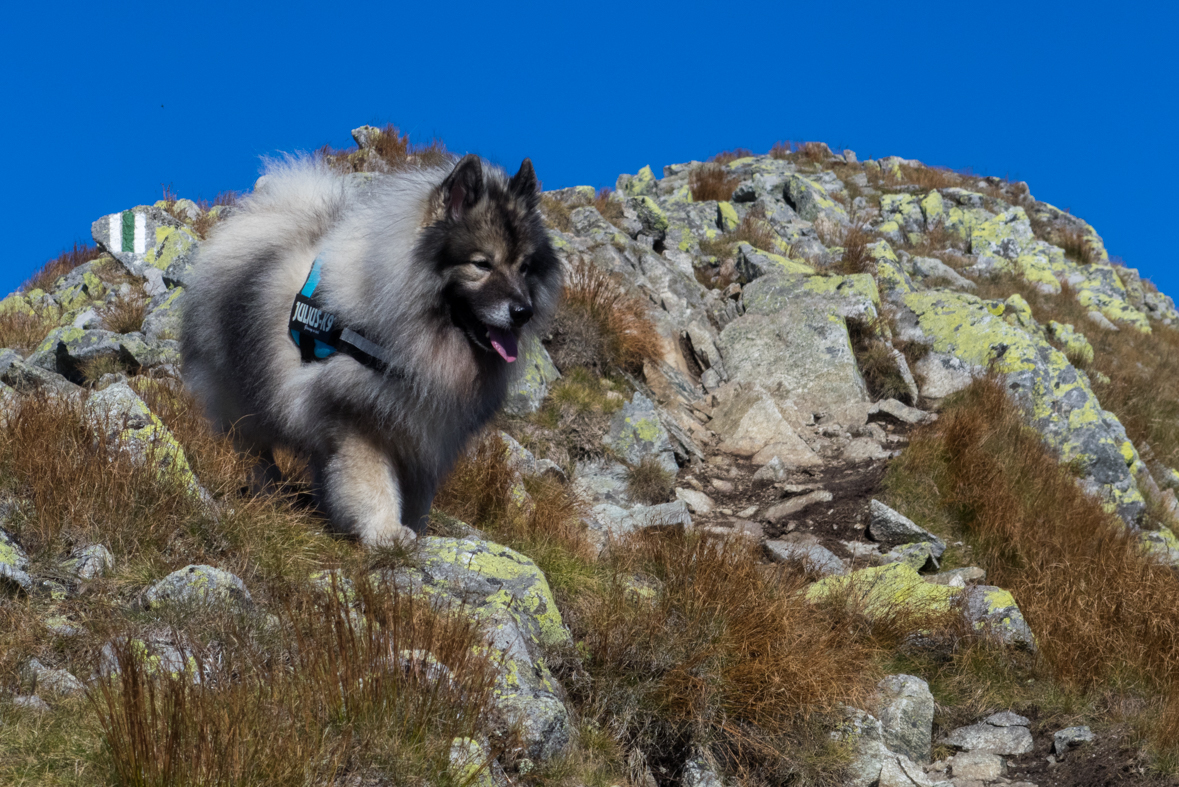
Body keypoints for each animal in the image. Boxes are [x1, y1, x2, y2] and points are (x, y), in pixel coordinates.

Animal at [179, 153, 561, 546]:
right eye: (482, 264)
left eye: (524, 267)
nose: (523, 312)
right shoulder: (360, 419)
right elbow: (372, 482)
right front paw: (386, 532)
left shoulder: (426, 432)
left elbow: (417, 496)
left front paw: (416, 532)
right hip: (240, 396)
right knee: (255, 451)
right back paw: (269, 493)